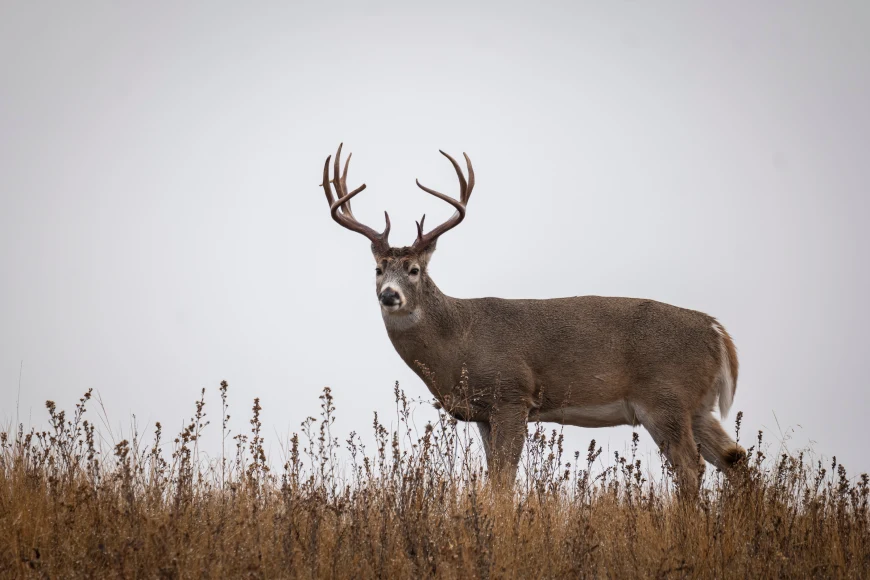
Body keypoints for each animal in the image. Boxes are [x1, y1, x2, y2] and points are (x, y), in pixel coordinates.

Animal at [320, 145, 748, 494]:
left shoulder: (512, 394)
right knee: (735, 458)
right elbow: (495, 477)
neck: (458, 339)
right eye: (378, 269)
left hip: (665, 397)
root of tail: (717, 332)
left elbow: (505, 479)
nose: (389, 295)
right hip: (697, 406)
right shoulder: (483, 412)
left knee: (691, 467)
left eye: (413, 270)